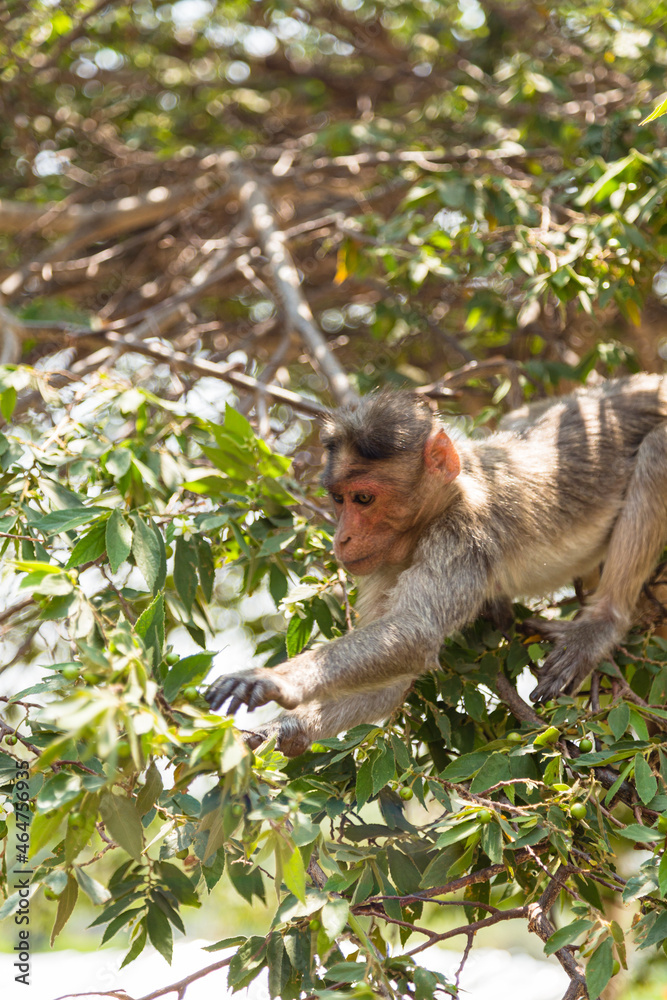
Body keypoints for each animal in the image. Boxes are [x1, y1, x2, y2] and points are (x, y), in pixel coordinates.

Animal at [205, 373, 667, 756]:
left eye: (363, 499)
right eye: (338, 499)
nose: (342, 538)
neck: (446, 500)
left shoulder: (461, 537)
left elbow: (414, 634)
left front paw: (273, 680)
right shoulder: (383, 566)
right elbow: (388, 687)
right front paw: (282, 730)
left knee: (656, 450)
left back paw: (602, 622)